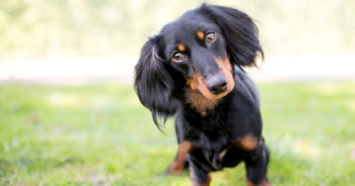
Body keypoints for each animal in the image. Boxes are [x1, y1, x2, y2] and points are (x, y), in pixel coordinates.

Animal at [135, 4, 272, 186]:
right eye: (177, 56)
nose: (218, 85)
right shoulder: (196, 161)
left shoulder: (255, 151)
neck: (211, 115)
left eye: (210, 36)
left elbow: (255, 177)